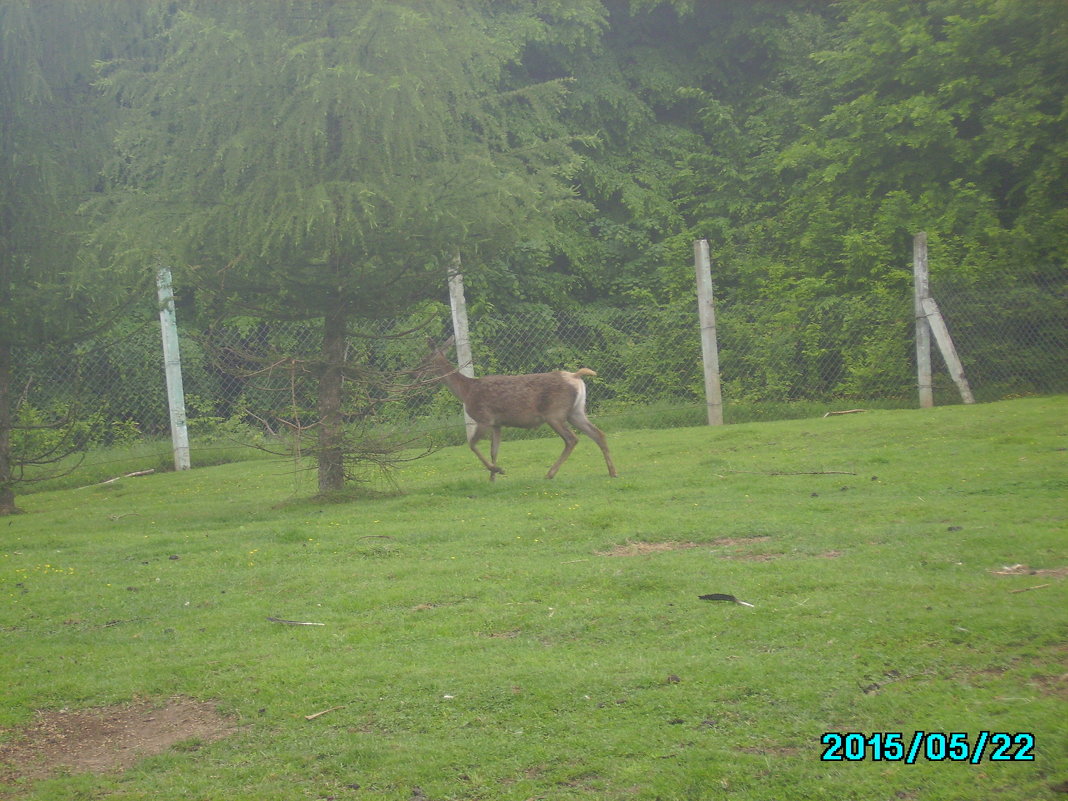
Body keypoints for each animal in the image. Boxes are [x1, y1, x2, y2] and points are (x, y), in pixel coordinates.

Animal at [418, 335, 619, 480]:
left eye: (425, 360)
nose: (414, 373)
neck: (466, 391)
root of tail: (576, 376)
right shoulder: (497, 424)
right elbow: (494, 450)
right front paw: (492, 477)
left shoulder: (484, 418)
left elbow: (472, 444)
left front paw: (497, 470)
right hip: (575, 412)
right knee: (598, 434)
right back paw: (613, 472)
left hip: (554, 413)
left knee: (572, 439)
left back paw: (550, 473)